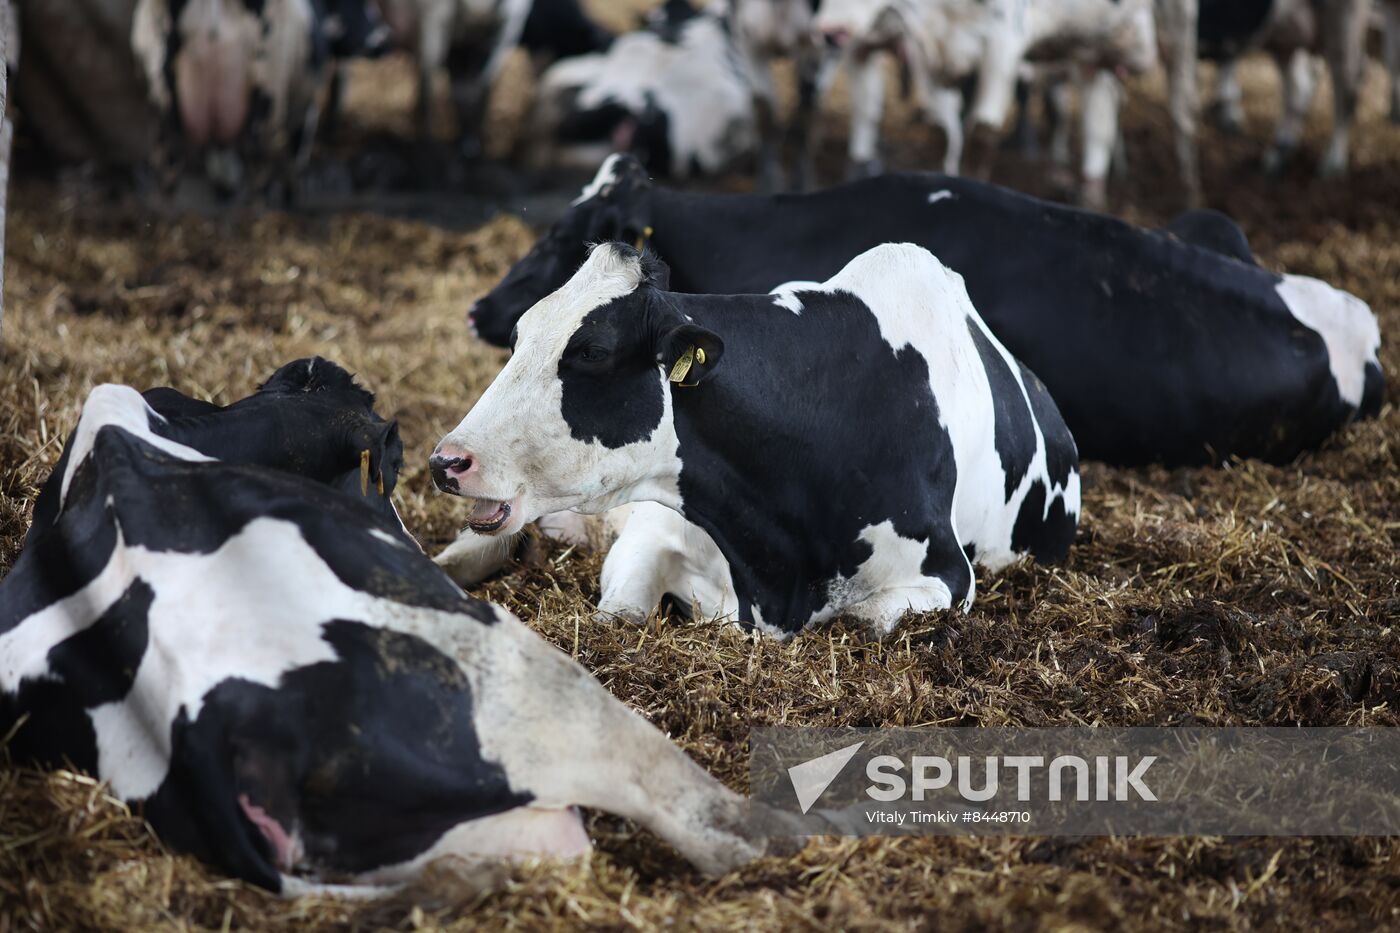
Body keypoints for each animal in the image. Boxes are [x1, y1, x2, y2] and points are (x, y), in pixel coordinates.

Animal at [431, 239, 1075, 636]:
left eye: (590, 350)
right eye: (519, 337)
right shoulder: (653, 531)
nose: (447, 460)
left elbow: (868, 620)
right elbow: (621, 615)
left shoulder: (946, 578)